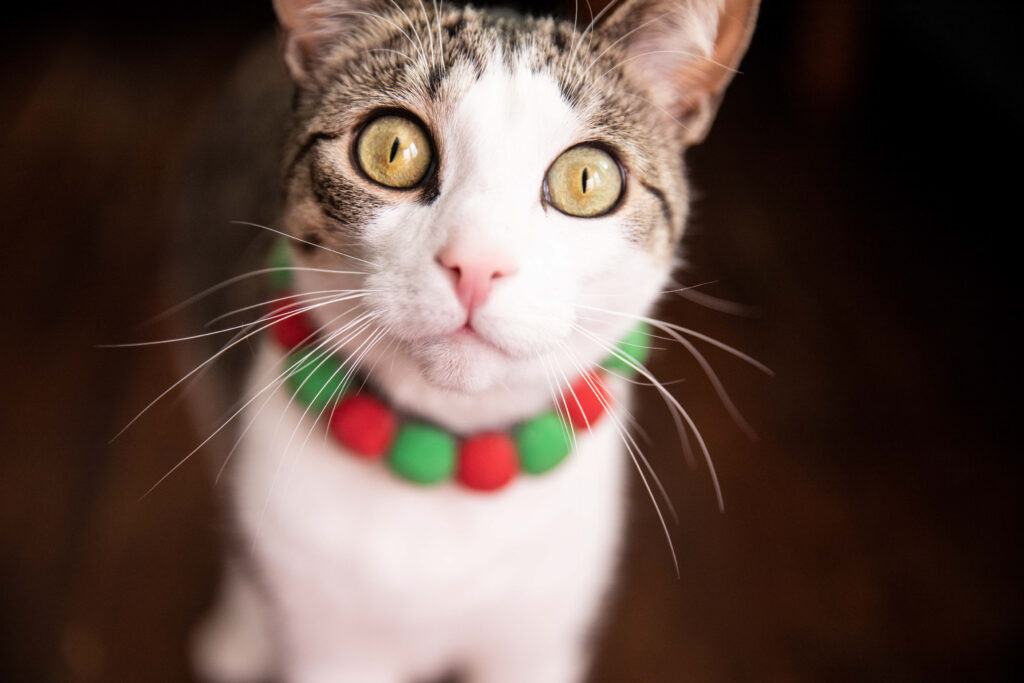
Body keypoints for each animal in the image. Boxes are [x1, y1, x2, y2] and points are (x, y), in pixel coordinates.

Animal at [180, 1, 761, 683]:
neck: (451, 463)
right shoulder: (334, 644)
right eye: (391, 149)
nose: (477, 265)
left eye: (587, 179)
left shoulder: (540, 634)